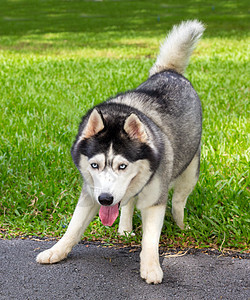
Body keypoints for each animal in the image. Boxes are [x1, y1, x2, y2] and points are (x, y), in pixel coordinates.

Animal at [37, 20, 205, 284]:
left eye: (122, 166)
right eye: (94, 165)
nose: (105, 199)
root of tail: (169, 71)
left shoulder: (155, 201)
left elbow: (150, 239)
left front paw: (151, 267)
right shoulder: (90, 193)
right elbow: (74, 227)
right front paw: (57, 250)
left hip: (189, 171)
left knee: (178, 201)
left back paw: (181, 226)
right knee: (128, 203)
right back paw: (124, 228)